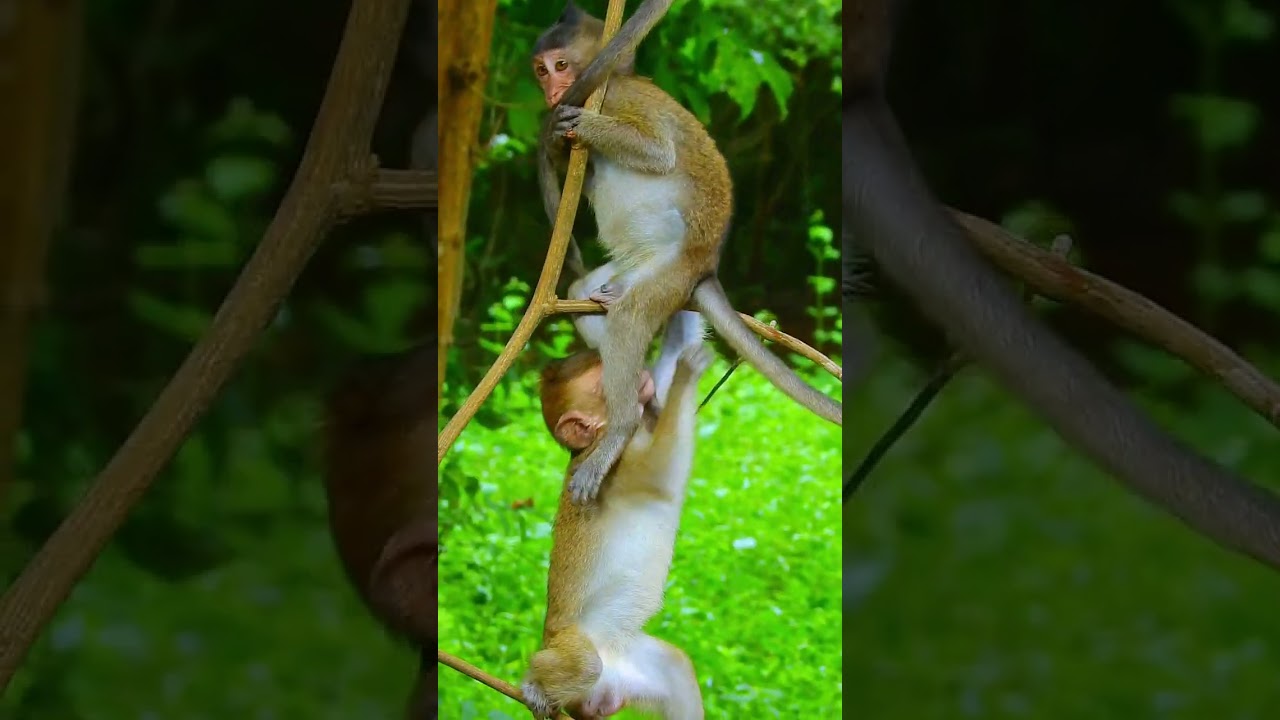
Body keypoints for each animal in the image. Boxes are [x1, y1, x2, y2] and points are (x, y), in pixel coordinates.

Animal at [521, 338, 712, 720]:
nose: (640, 372)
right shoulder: (612, 462)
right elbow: (659, 471)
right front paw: (687, 374)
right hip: (565, 645)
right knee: (585, 666)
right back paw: (535, 687)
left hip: (631, 668)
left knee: (677, 667)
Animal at [531, 2, 842, 506]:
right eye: (540, 70)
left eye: (560, 65)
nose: (551, 89)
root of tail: (704, 267)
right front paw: (559, 144)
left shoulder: (618, 97)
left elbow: (657, 153)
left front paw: (572, 125)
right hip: (637, 270)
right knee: (585, 291)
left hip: (670, 272)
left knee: (631, 317)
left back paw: (621, 426)